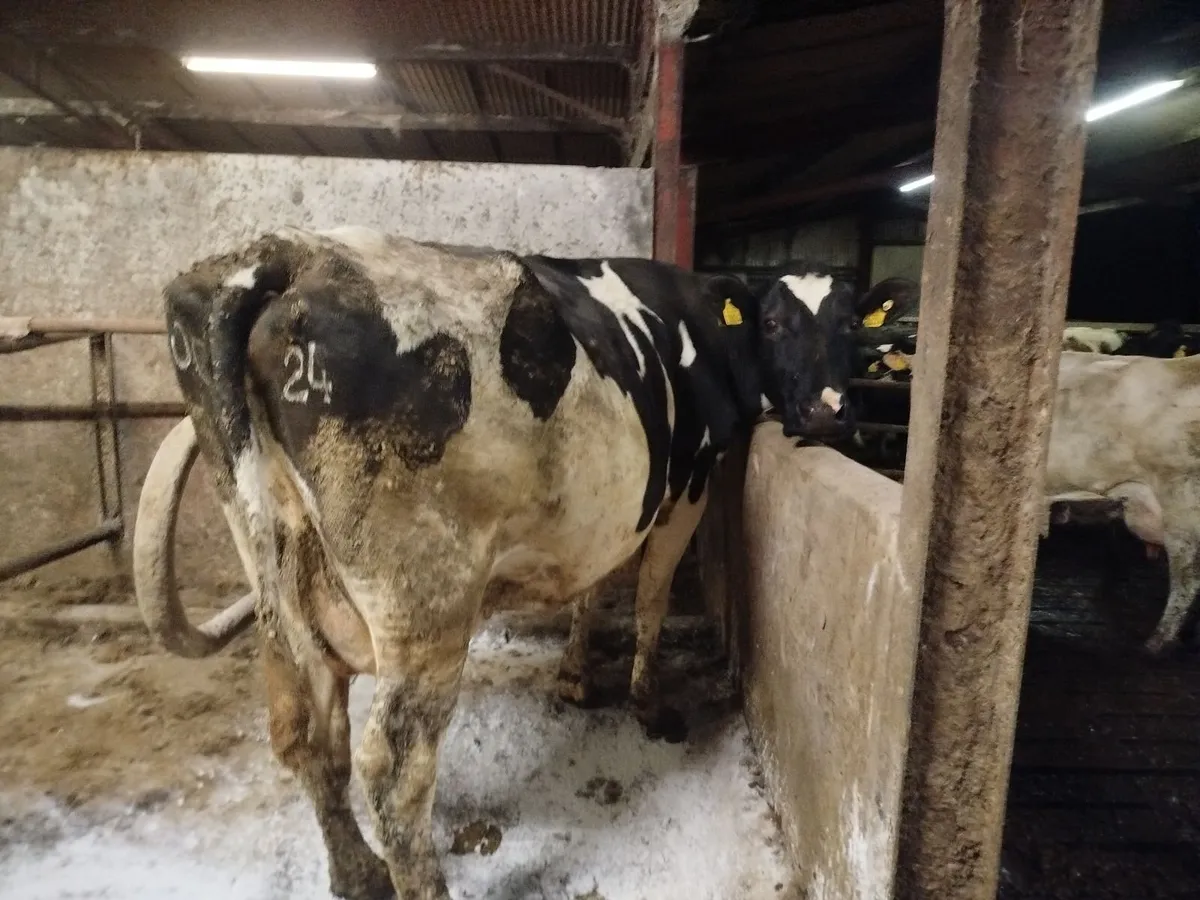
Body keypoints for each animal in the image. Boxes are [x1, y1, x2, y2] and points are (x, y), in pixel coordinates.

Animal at [132, 226, 861, 900]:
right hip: (425, 600)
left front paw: (574, 676)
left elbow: (593, 587)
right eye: (775, 322)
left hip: (277, 578)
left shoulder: (609, 512)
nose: (827, 411)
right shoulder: (688, 486)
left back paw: (357, 873)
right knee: (393, 769)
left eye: (849, 323)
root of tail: (282, 254)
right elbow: (651, 594)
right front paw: (647, 701)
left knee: (306, 733)